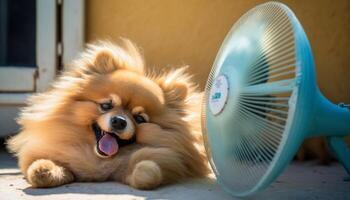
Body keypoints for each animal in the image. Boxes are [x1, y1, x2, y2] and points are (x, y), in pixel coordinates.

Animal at [7, 39, 208, 189]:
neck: (99, 158)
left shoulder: (167, 160)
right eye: (106, 105)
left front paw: (144, 171)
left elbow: (148, 170)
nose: (119, 121)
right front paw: (43, 170)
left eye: (139, 118)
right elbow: (42, 164)